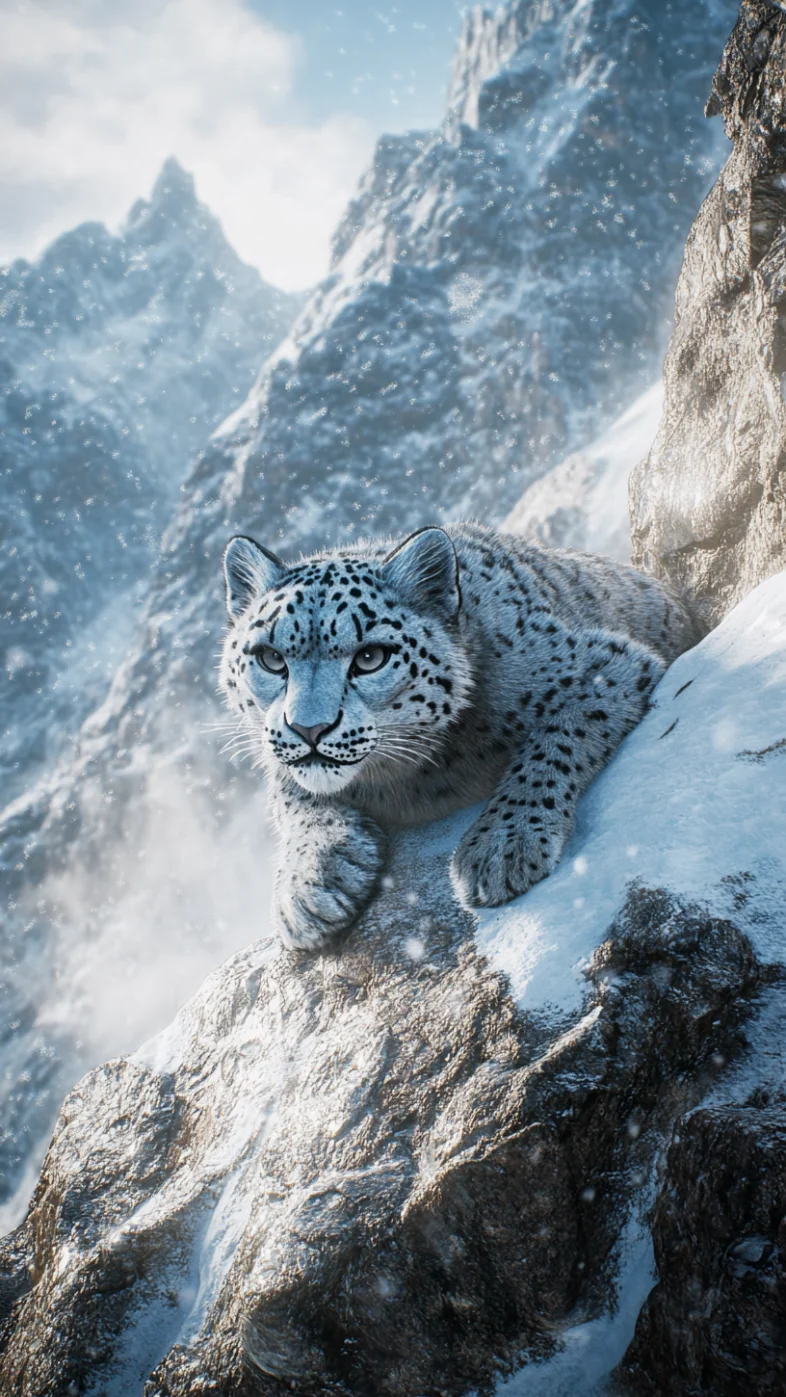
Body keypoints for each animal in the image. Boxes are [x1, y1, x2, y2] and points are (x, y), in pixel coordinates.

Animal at [218, 522, 701, 950]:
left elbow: (553, 743)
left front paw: (500, 845)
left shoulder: (606, 665)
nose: (309, 728)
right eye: (270, 658)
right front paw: (307, 890)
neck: (419, 780)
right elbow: (291, 797)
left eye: (371, 657)